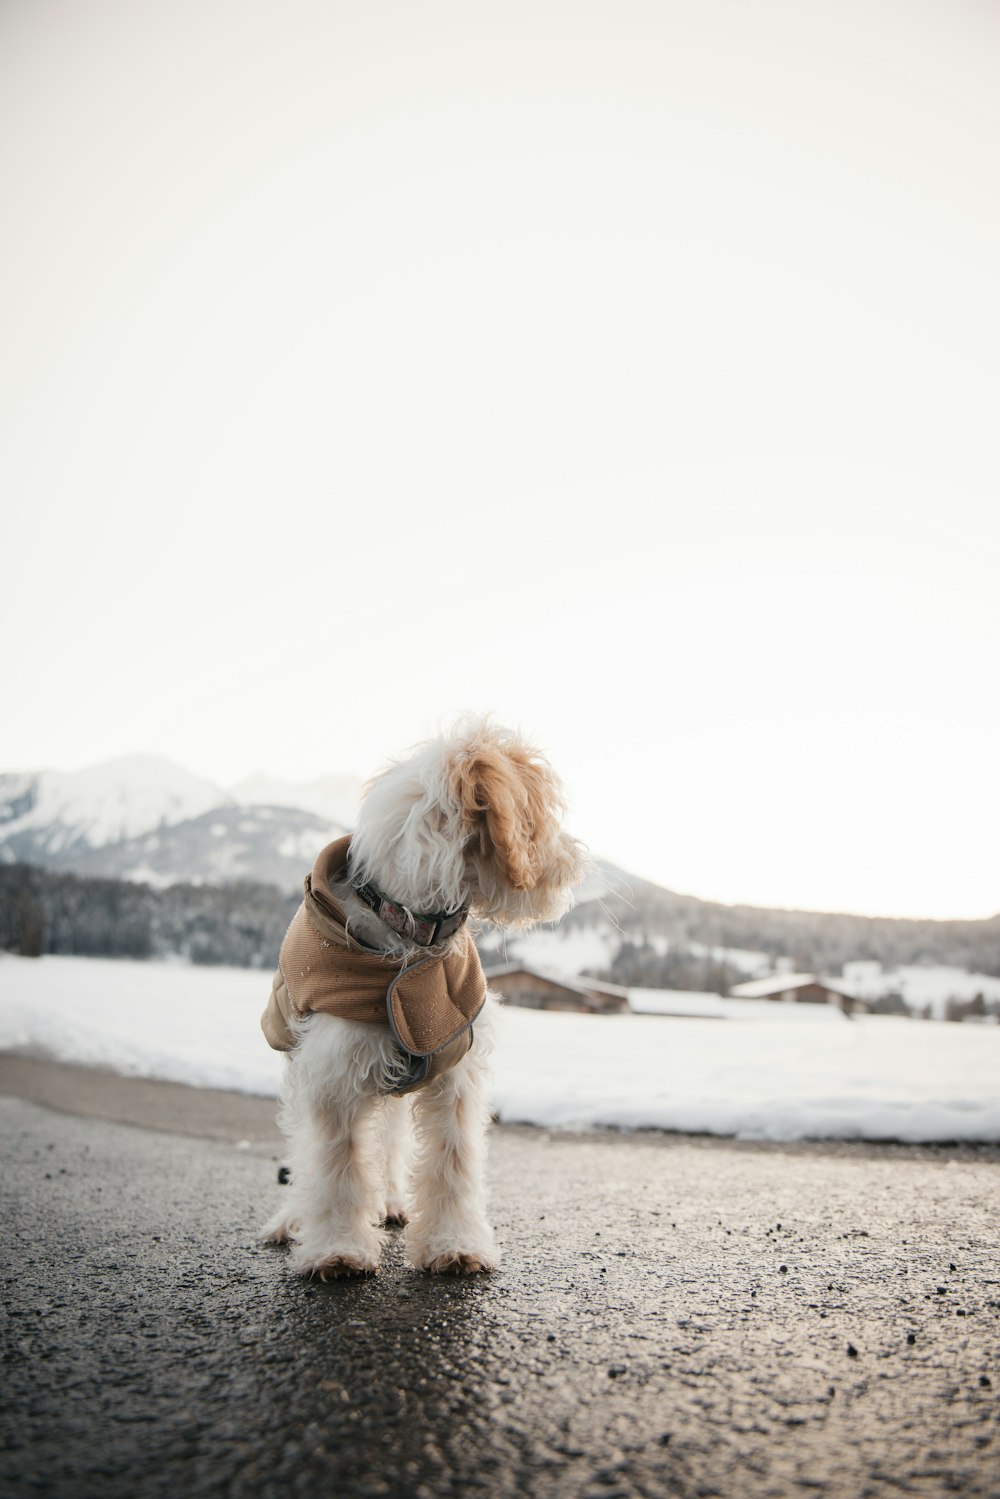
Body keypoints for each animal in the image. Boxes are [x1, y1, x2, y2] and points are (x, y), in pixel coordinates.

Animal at [260, 722, 587, 1277]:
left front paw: (454, 1246)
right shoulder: (332, 1074)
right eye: (539, 812)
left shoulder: (455, 1067)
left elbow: (453, 1161)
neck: (412, 932)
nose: (577, 863)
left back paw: (392, 1202)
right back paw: (291, 1220)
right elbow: (336, 1165)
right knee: (308, 1152)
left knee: (391, 1143)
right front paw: (337, 1250)